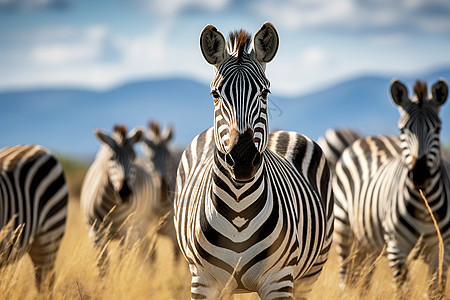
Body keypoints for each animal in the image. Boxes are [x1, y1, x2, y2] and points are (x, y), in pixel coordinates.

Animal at [80, 124, 157, 268]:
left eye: (133, 157)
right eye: (111, 158)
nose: (125, 193)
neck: (110, 205)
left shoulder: (125, 233)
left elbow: (121, 262)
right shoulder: (95, 234)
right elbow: (103, 264)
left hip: (142, 224)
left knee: (145, 249)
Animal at [142, 120, 182, 258]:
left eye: (169, 158)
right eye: (149, 160)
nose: (164, 189)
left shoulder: (174, 233)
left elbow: (175, 256)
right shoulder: (149, 229)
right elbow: (152, 255)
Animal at [174, 22, 332, 298]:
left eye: (265, 93)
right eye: (215, 94)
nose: (243, 158)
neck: (239, 206)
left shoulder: (278, 281)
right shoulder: (203, 281)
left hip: (311, 272)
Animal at [334, 78, 450, 298]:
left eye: (438, 130)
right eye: (403, 130)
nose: (419, 175)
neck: (425, 205)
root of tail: (368, 137)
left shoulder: (443, 248)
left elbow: (435, 291)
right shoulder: (397, 247)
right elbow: (404, 291)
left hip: (368, 244)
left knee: (364, 280)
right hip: (344, 229)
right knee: (346, 277)